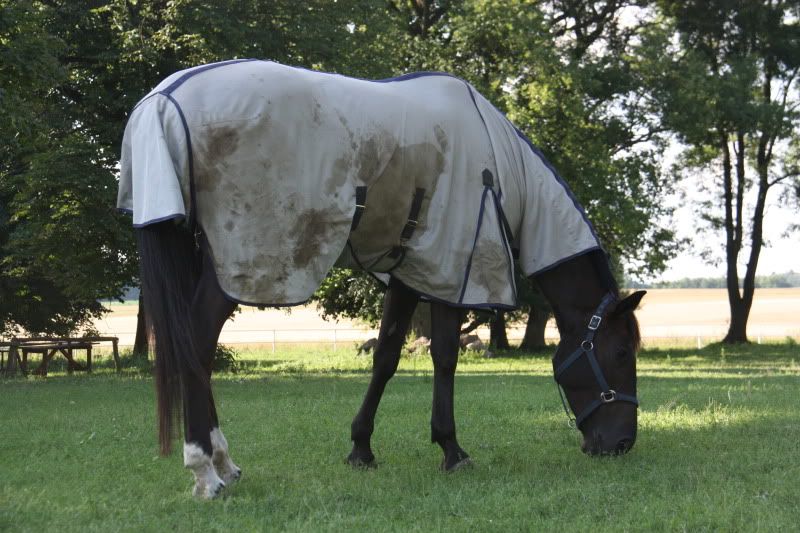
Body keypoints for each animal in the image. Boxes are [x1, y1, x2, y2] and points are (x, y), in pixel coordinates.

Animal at [120, 60, 646, 499]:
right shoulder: (454, 269)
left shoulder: (410, 271)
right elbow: (444, 356)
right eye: (621, 352)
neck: (499, 168)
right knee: (197, 344)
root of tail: (163, 101)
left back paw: (224, 465)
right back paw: (207, 471)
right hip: (236, 264)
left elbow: (387, 357)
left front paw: (361, 449)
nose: (621, 443)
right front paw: (452, 450)